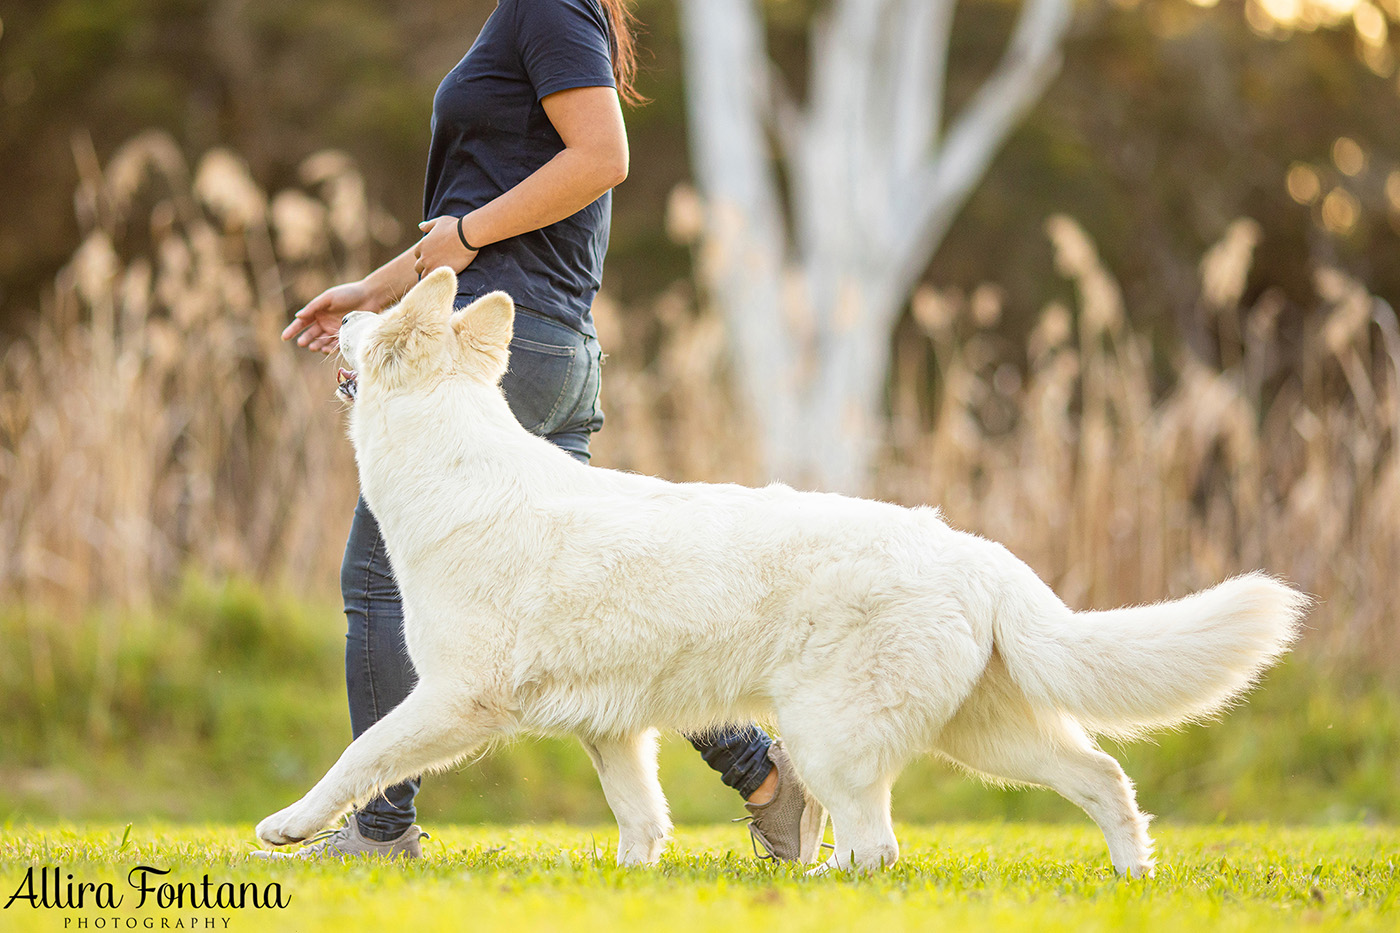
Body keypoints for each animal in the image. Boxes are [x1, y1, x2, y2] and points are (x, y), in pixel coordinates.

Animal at [257, 267, 1304, 874]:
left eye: (368, 322)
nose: (325, 320)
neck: (454, 466)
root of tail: (978, 553)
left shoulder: (451, 699)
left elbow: (360, 756)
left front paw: (291, 827)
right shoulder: (611, 727)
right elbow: (639, 815)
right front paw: (630, 885)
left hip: (835, 732)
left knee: (880, 847)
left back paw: (823, 885)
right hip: (981, 732)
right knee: (1099, 773)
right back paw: (1133, 871)